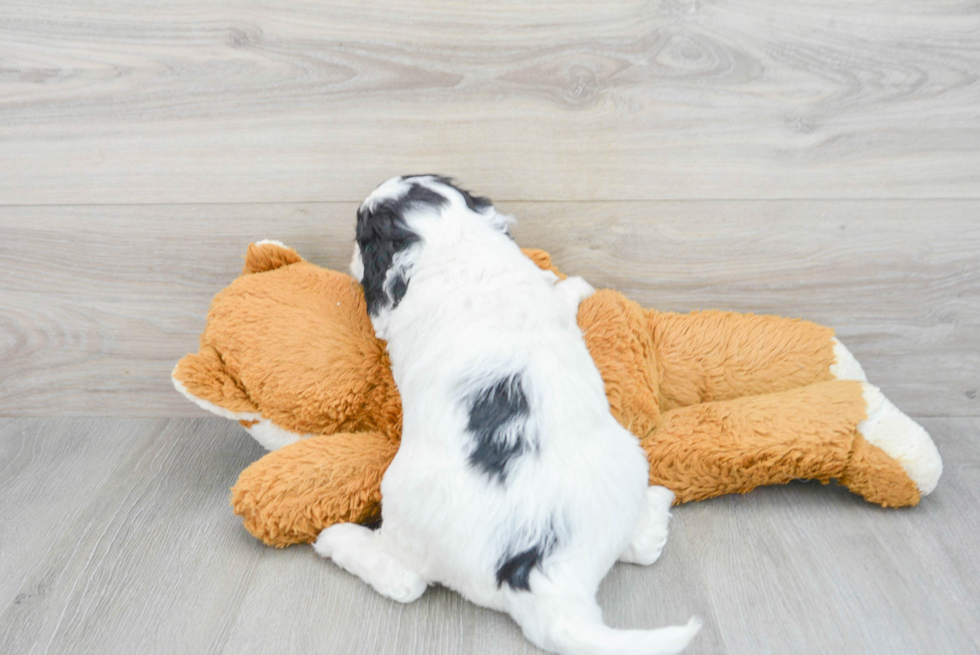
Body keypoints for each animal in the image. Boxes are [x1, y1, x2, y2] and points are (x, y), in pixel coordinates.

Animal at [318, 174, 700, 655]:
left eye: (361, 235)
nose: (349, 256)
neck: (456, 245)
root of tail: (537, 576)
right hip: (628, 458)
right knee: (639, 547)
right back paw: (655, 515)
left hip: (400, 504)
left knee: (404, 581)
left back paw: (335, 538)